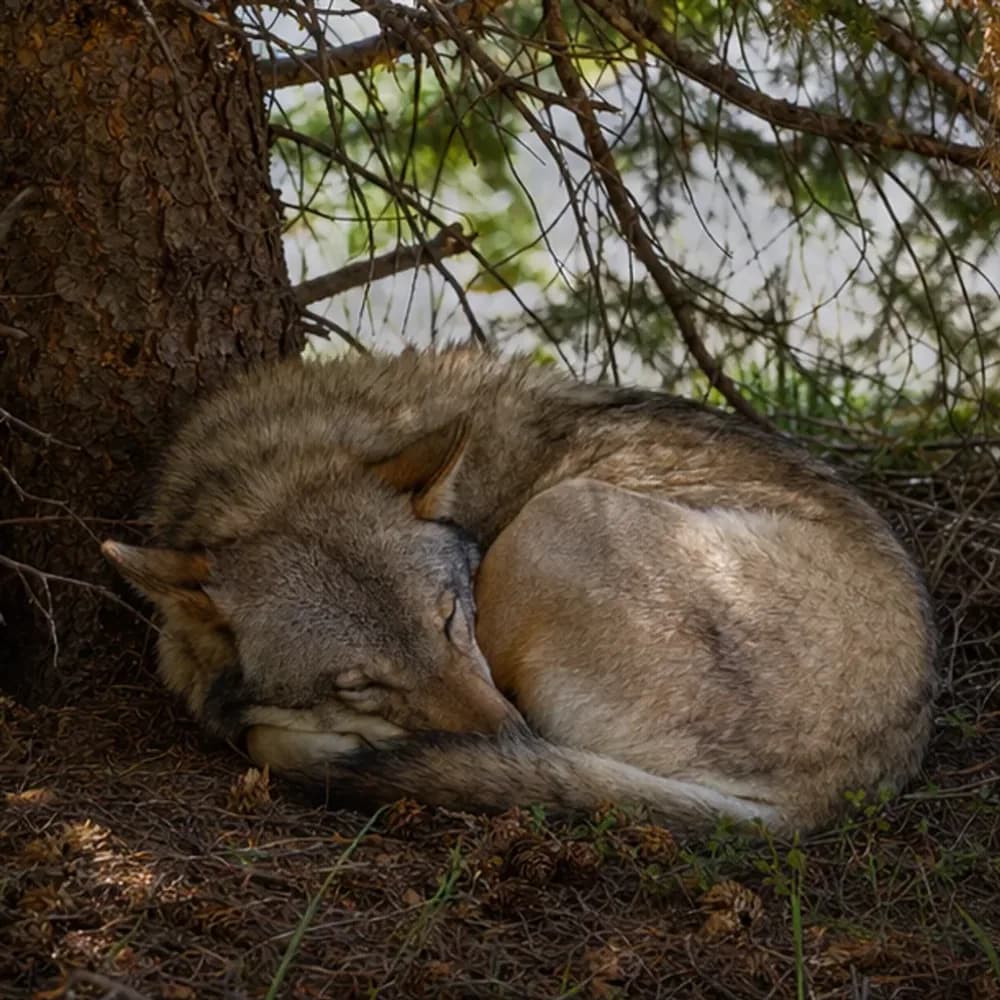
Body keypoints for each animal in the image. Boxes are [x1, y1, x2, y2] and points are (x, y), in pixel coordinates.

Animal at [102, 350, 935, 835]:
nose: (508, 732)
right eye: (361, 683)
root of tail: (840, 787)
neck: (267, 471)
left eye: (450, 620)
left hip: (554, 517)